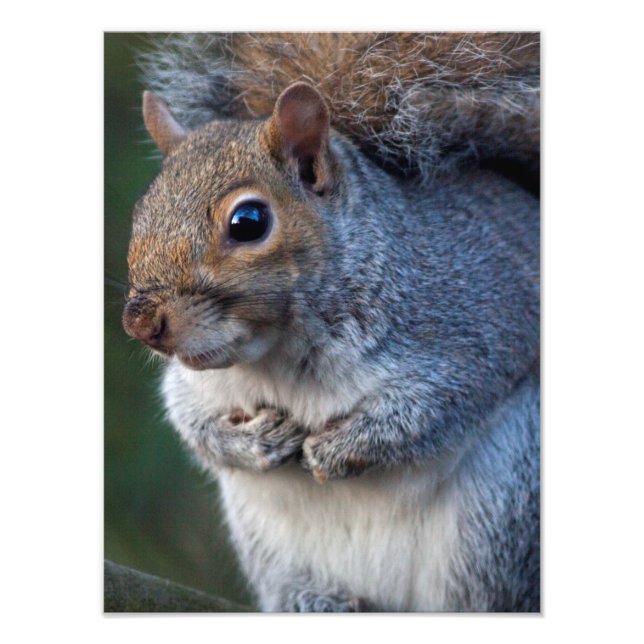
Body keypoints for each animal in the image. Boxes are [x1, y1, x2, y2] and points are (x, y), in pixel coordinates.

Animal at [122, 32, 540, 612]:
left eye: (248, 222)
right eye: (140, 214)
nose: (140, 323)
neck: (278, 356)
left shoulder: (478, 321)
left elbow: (442, 404)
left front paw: (338, 448)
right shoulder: (196, 383)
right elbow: (190, 420)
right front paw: (255, 443)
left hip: (502, 507)